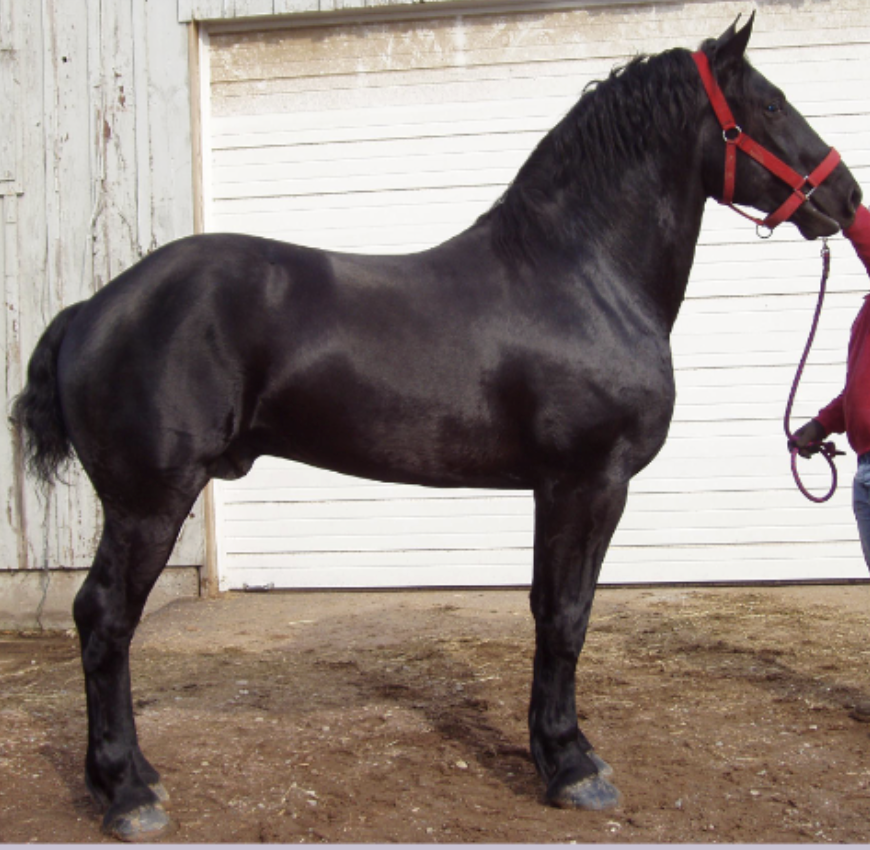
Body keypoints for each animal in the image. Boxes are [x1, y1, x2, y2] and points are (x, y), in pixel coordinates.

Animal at [10, 14, 862, 841]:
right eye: (772, 104)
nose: (847, 196)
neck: (582, 276)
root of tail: (92, 307)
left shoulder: (556, 488)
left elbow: (550, 608)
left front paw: (559, 753)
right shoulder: (588, 481)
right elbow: (567, 616)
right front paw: (571, 768)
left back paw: (130, 778)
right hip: (149, 502)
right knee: (105, 617)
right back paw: (128, 793)